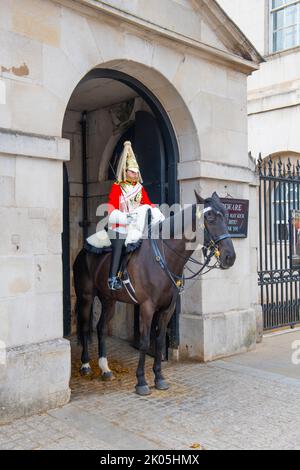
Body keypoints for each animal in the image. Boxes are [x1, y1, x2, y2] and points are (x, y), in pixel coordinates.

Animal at [73, 189, 237, 394]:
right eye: (209, 217)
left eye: (227, 215)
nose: (230, 257)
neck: (164, 258)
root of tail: (83, 250)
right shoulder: (147, 307)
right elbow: (144, 341)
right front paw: (141, 381)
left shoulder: (167, 308)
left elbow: (159, 341)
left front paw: (159, 378)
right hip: (86, 296)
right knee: (86, 328)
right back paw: (86, 365)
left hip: (109, 299)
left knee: (101, 327)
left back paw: (105, 368)